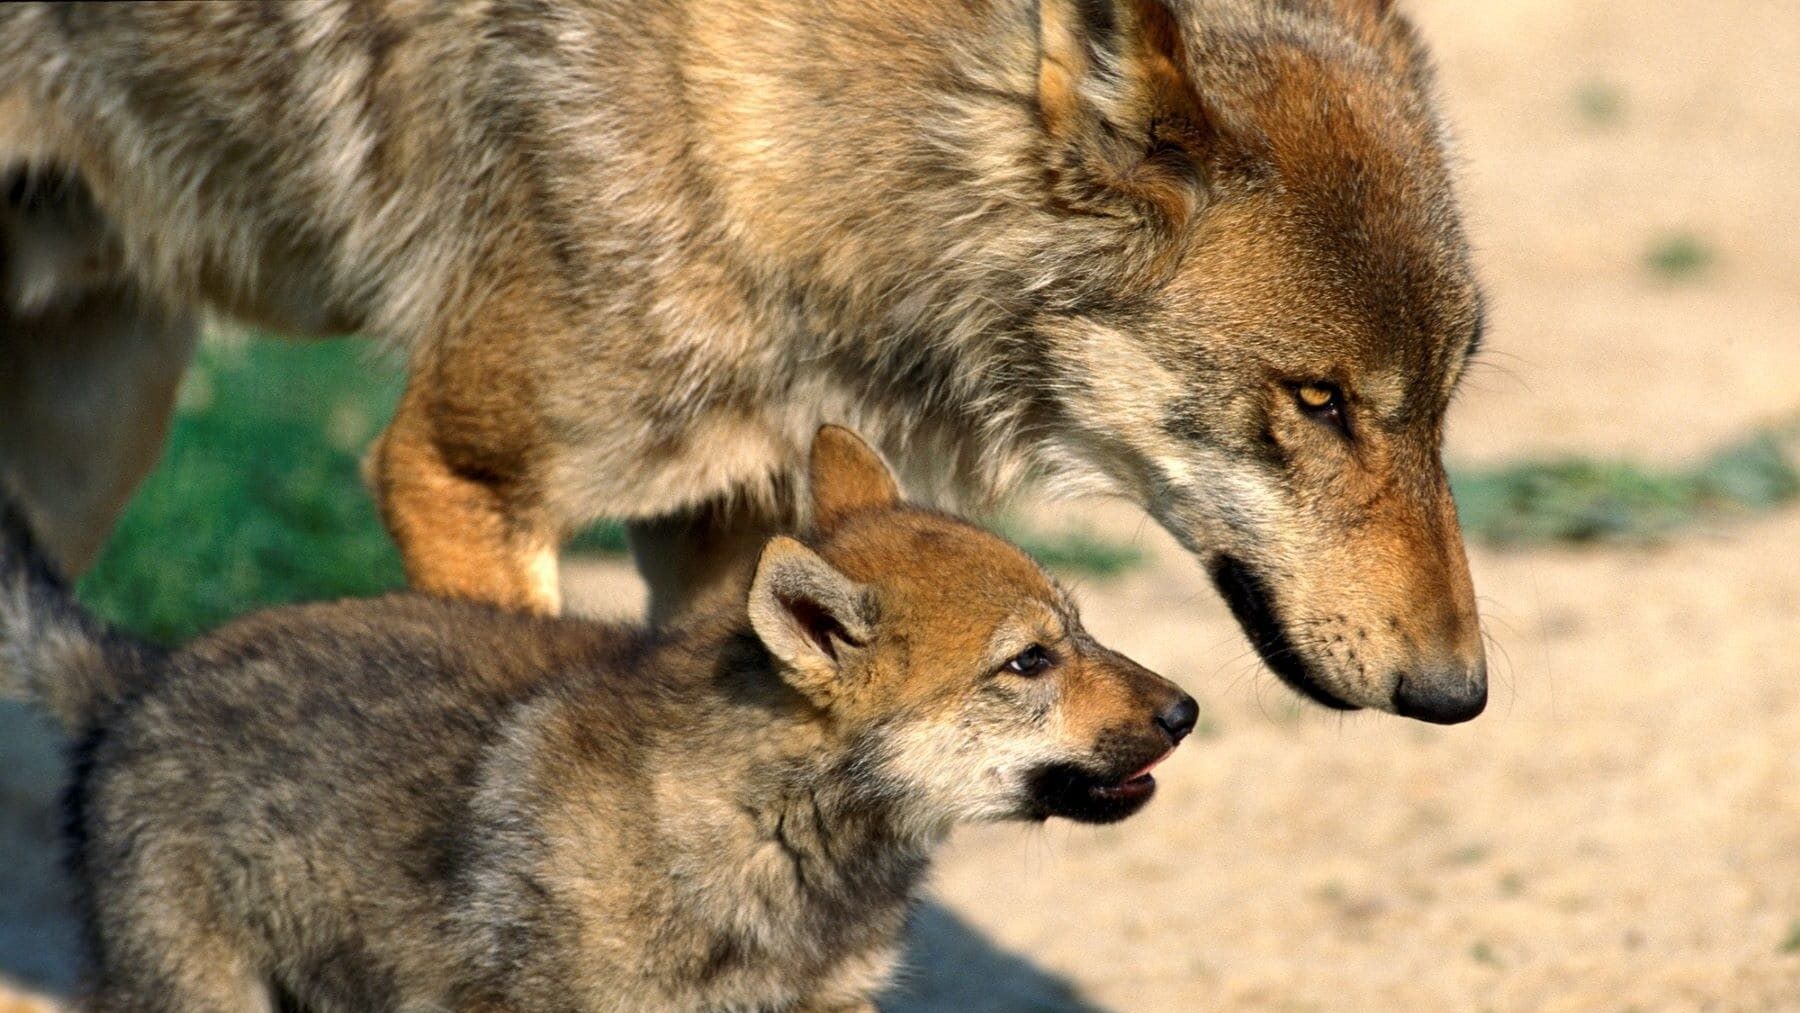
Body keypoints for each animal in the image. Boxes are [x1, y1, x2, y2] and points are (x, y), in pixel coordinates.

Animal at [0, 0, 1487, 723]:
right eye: (1317, 401)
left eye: (1443, 404)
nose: (1459, 693)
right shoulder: (454, 470)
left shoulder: (733, 526)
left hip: (98, 429)